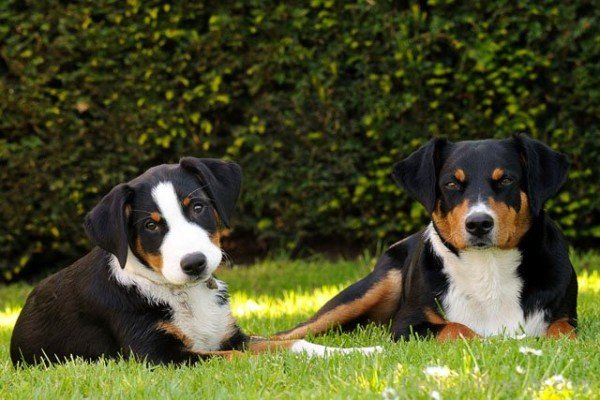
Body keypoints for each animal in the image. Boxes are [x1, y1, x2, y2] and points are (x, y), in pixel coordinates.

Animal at [10, 157, 380, 366]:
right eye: (151, 226)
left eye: (198, 207)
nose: (195, 263)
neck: (182, 295)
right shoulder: (157, 355)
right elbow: (239, 359)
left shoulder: (230, 335)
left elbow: (289, 343)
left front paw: (362, 352)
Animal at [276, 136, 576, 342]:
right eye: (452, 184)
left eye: (506, 180)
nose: (479, 223)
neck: (488, 268)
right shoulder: (408, 324)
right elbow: (457, 328)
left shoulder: (566, 316)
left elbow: (562, 331)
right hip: (369, 289)